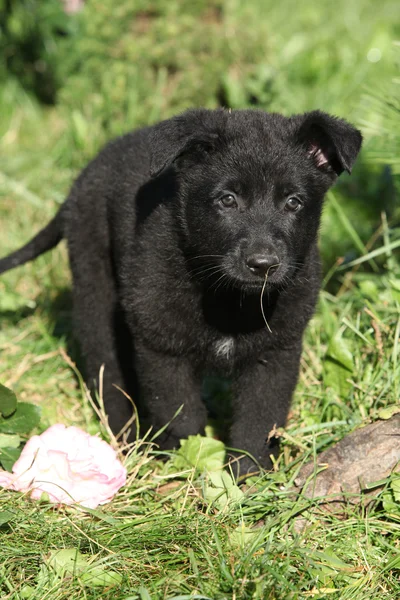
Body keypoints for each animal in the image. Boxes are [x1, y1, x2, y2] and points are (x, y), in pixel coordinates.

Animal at [0, 109, 360, 474]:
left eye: (293, 202)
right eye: (228, 200)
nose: (263, 264)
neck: (228, 299)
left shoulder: (275, 350)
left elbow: (258, 419)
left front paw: (249, 474)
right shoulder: (161, 345)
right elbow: (182, 414)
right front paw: (188, 463)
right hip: (94, 287)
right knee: (106, 370)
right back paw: (125, 440)